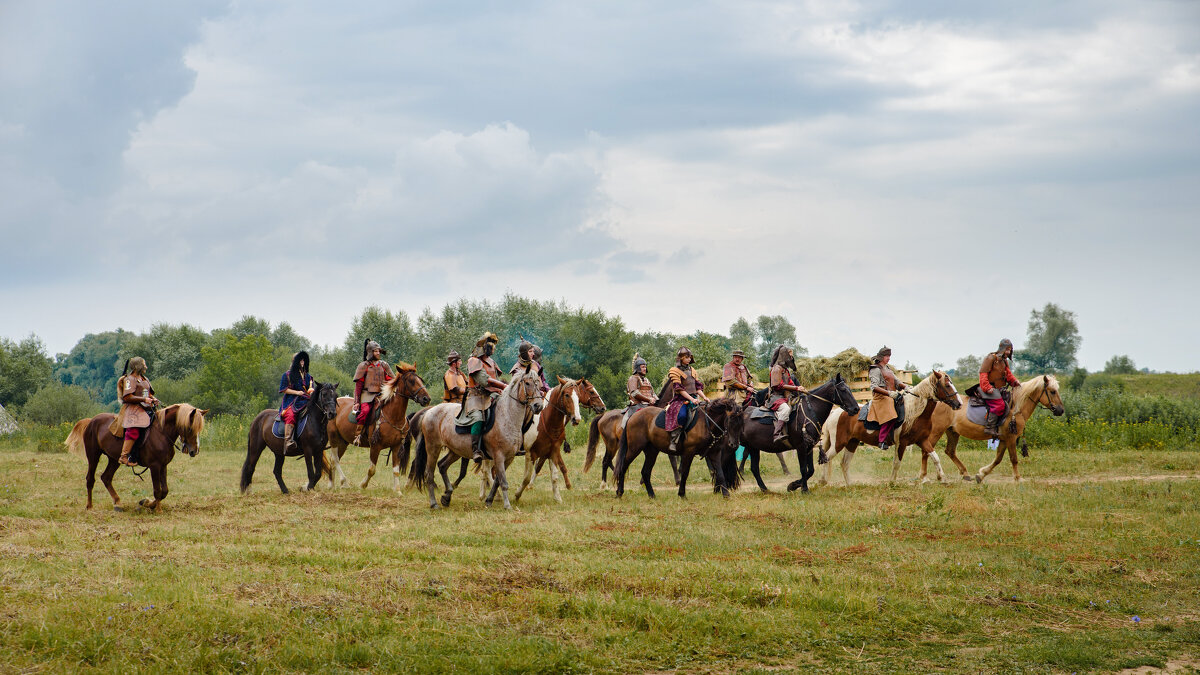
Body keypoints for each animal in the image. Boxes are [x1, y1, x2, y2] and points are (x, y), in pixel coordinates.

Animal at [65, 403, 208, 509]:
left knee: (106, 477)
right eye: (190, 428)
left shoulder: (163, 466)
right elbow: (157, 491)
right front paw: (154, 507)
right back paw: (89, 506)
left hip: (114, 459)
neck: (161, 433)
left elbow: (164, 491)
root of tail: (91, 421)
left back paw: (118, 502)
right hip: (93, 455)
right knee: (90, 479)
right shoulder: (155, 466)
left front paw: (148, 503)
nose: (194, 451)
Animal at [321, 362, 429, 494]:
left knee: (334, 460)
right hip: (334, 438)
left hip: (343, 442)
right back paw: (342, 482)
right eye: (411, 381)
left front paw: (398, 491)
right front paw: (362, 485)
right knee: (335, 460)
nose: (426, 398)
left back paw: (332, 484)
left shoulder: (397, 446)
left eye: (420, 380)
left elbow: (396, 470)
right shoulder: (375, 446)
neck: (393, 416)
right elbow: (372, 470)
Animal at [410, 365, 547, 506]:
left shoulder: (509, 458)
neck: (507, 415)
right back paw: (434, 503)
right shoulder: (499, 456)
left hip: (455, 451)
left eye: (539, 384)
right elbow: (503, 482)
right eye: (528, 383)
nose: (538, 406)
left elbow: (497, 481)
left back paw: (447, 496)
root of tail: (428, 412)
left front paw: (489, 500)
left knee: (442, 466)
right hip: (433, 448)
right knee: (429, 474)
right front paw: (507, 505)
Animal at [516, 374, 609, 502]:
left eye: (578, 396)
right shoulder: (535, 451)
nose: (603, 408)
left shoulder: (549, 450)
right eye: (591, 391)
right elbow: (559, 466)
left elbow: (541, 467)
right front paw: (568, 485)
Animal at [811, 367, 960, 482]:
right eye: (947, 385)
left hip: (852, 442)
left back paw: (849, 485)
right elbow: (897, 463)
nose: (959, 403)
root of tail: (835, 412)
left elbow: (935, 457)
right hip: (839, 443)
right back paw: (822, 481)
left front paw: (943, 479)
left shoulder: (922, 440)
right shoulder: (902, 443)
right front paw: (892, 482)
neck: (915, 411)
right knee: (826, 458)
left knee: (844, 463)